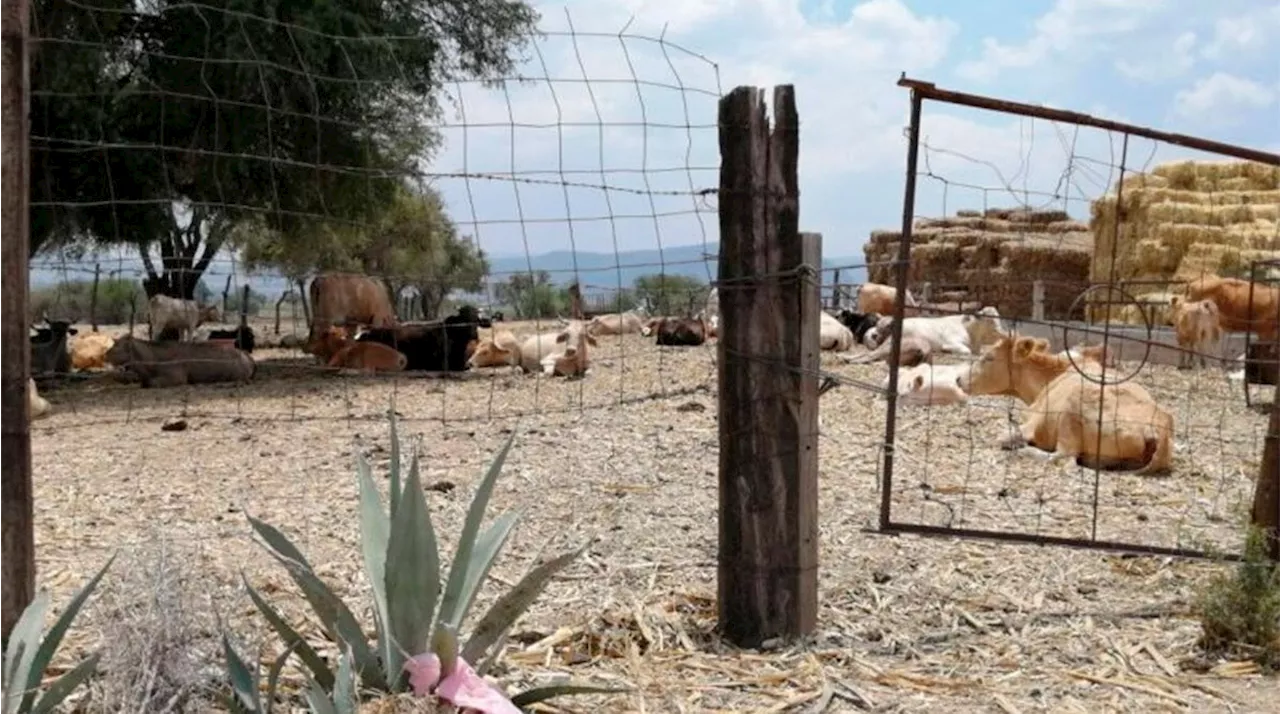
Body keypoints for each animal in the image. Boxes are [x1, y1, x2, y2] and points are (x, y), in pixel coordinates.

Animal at [104, 337, 257, 388]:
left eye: (117, 346)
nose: (105, 354)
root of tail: (246, 356)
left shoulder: (177, 377)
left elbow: (153, 383)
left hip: (237, 375)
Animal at [962, 335, 1172, 476]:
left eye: (989, 357)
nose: (958, 379)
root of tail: (1158, 428)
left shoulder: (1033, 423)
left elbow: (1002, 436)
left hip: (1069, 420)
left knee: (1064, 457)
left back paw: (1023, 450)